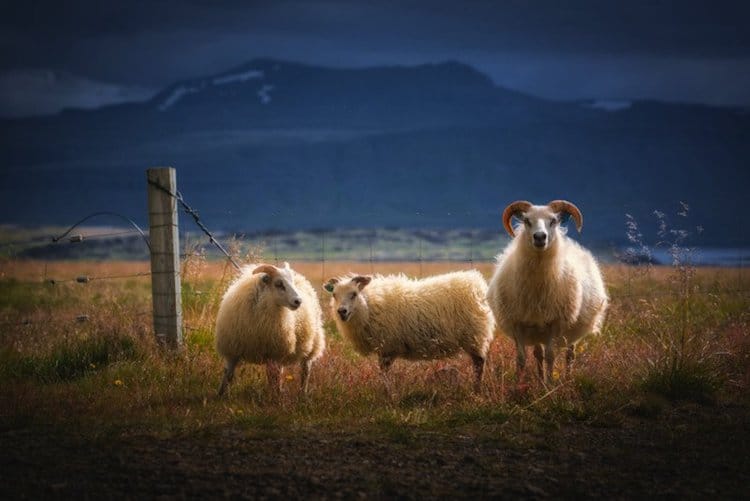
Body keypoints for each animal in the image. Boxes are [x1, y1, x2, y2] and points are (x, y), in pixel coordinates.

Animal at [214, 262, 326, 394]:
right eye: (278, 284)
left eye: (291, 282)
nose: (298, 301)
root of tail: (301, 278)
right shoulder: (233, 350)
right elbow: (228, 375)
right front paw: (221, 394)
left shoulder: (273, 352)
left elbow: (273, 377)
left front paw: (274, 395)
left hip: (310, 344)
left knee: (305, 371)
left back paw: (302, 392)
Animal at [322, 270, 494, 390]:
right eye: (334, 295)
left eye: (354, 294)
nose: (341, 311)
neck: (369, 306)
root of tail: (476, 285)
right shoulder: (385, 348)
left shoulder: (387, 347)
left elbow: (384, 373)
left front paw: (389, 394)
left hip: (474, 336)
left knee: (479, 364)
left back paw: (476, 389)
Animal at [488, 199, 612, 382]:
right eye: (527, 221)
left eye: (553, 221)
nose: (540, 237)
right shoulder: (518, 323)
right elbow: (521, 359)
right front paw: (519, 385)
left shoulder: (555, 323)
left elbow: (551, 356)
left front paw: (550, 384)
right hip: (536, 330)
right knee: (538, 354)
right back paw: (540, 381)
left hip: (571, 331)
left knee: (569, 355)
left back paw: (566, 379)